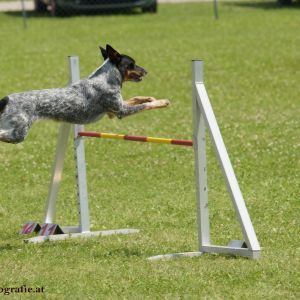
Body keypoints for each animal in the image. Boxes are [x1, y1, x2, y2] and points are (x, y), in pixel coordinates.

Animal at [0, 43, 169, 144]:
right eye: (132, 63)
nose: (146, 71)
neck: (106, 79)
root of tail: (5, 99)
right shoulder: (121, 112)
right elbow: (146, 105)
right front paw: (162, 101)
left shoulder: (114, 110)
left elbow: (138, 98)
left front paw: (150, 97)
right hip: (18, 133)